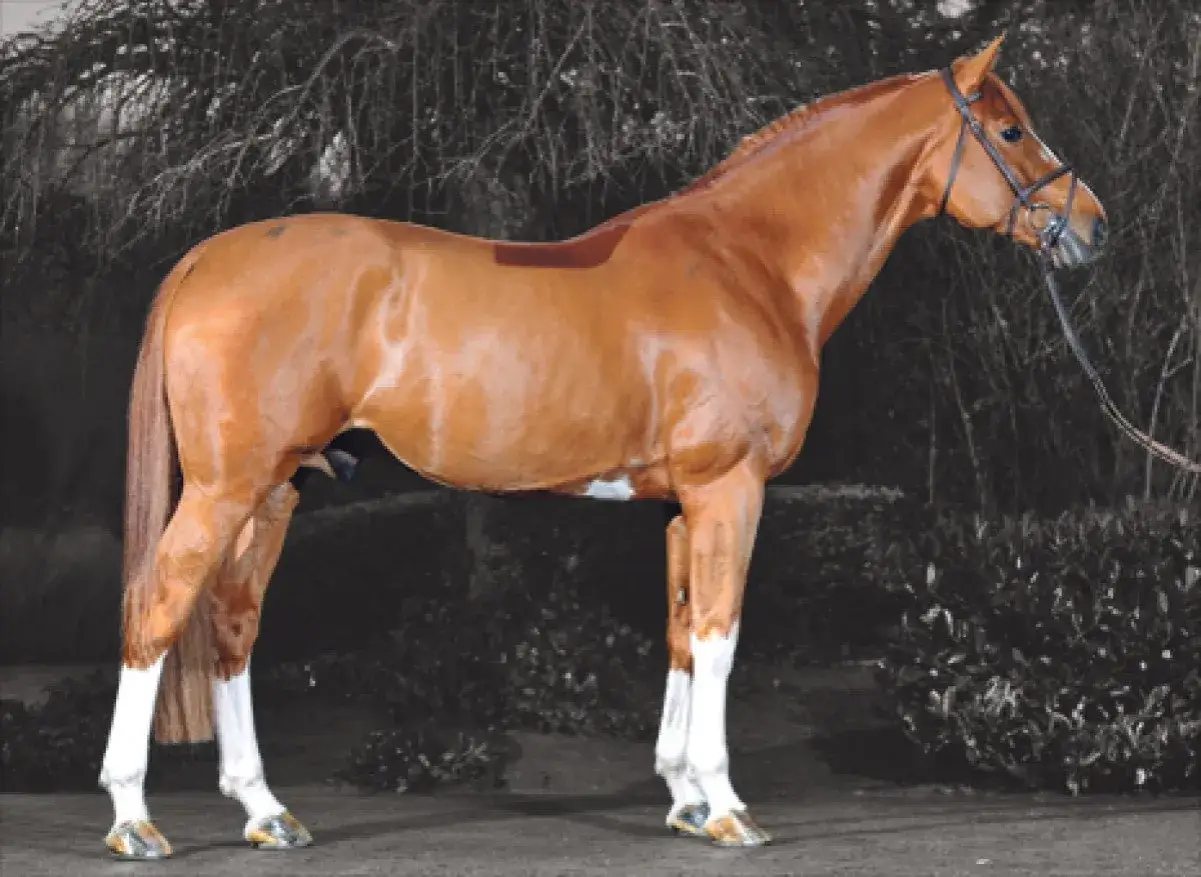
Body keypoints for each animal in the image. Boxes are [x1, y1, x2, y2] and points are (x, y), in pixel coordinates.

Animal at [97, 34, 1107, 859]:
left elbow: (681, 635)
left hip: (277, 489)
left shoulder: (679, 504)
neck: (751, 263)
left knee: (232, 624)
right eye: (1011, 131)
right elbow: (721, 634)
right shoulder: (729, 489)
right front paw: (728, 807)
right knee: (157, 608)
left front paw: (686, 799)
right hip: (225, 488)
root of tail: (207, 256)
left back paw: (265, 811)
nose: (1092, 226)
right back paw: (133, 818)